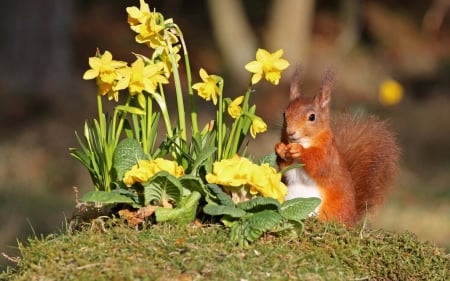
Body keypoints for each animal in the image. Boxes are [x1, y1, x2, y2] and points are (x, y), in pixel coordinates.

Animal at [276, 69, 400, 225]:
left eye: (312, 117)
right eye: (284, 114)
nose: (290, 132)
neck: (305, 142)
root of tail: (352, 220)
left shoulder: (328, 154)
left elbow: (320, 165)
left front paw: (300, 151)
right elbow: (284, 167)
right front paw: (280, 148)